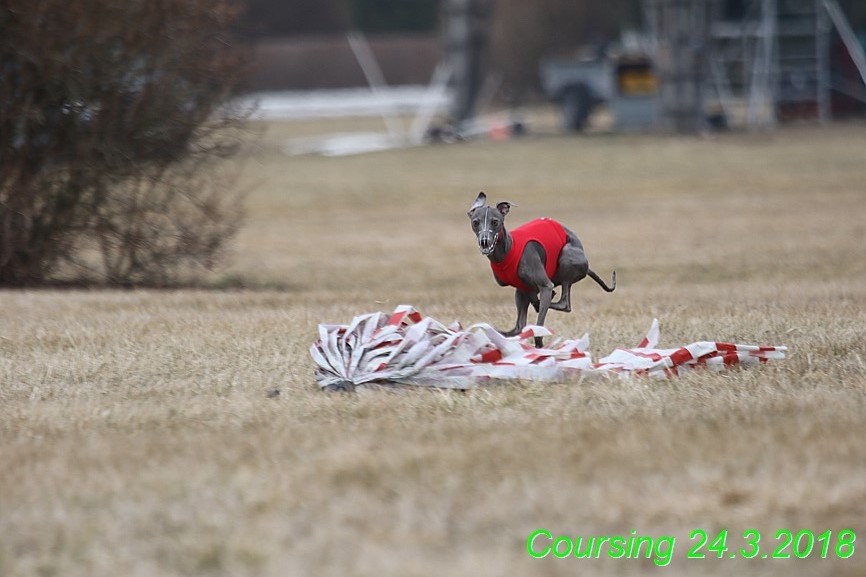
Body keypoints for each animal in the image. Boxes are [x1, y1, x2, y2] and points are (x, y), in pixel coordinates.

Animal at [466, 192, 616, 346]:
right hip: (523, 291)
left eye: (495, 222)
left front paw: (539, 343)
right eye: (475, 222)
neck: (508, 249)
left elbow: (539, 324)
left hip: (566, 257)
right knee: (519, 326)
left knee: (563, 304)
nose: (484, 242)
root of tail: (587, 264)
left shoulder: (545, 286)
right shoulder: (522, 288)